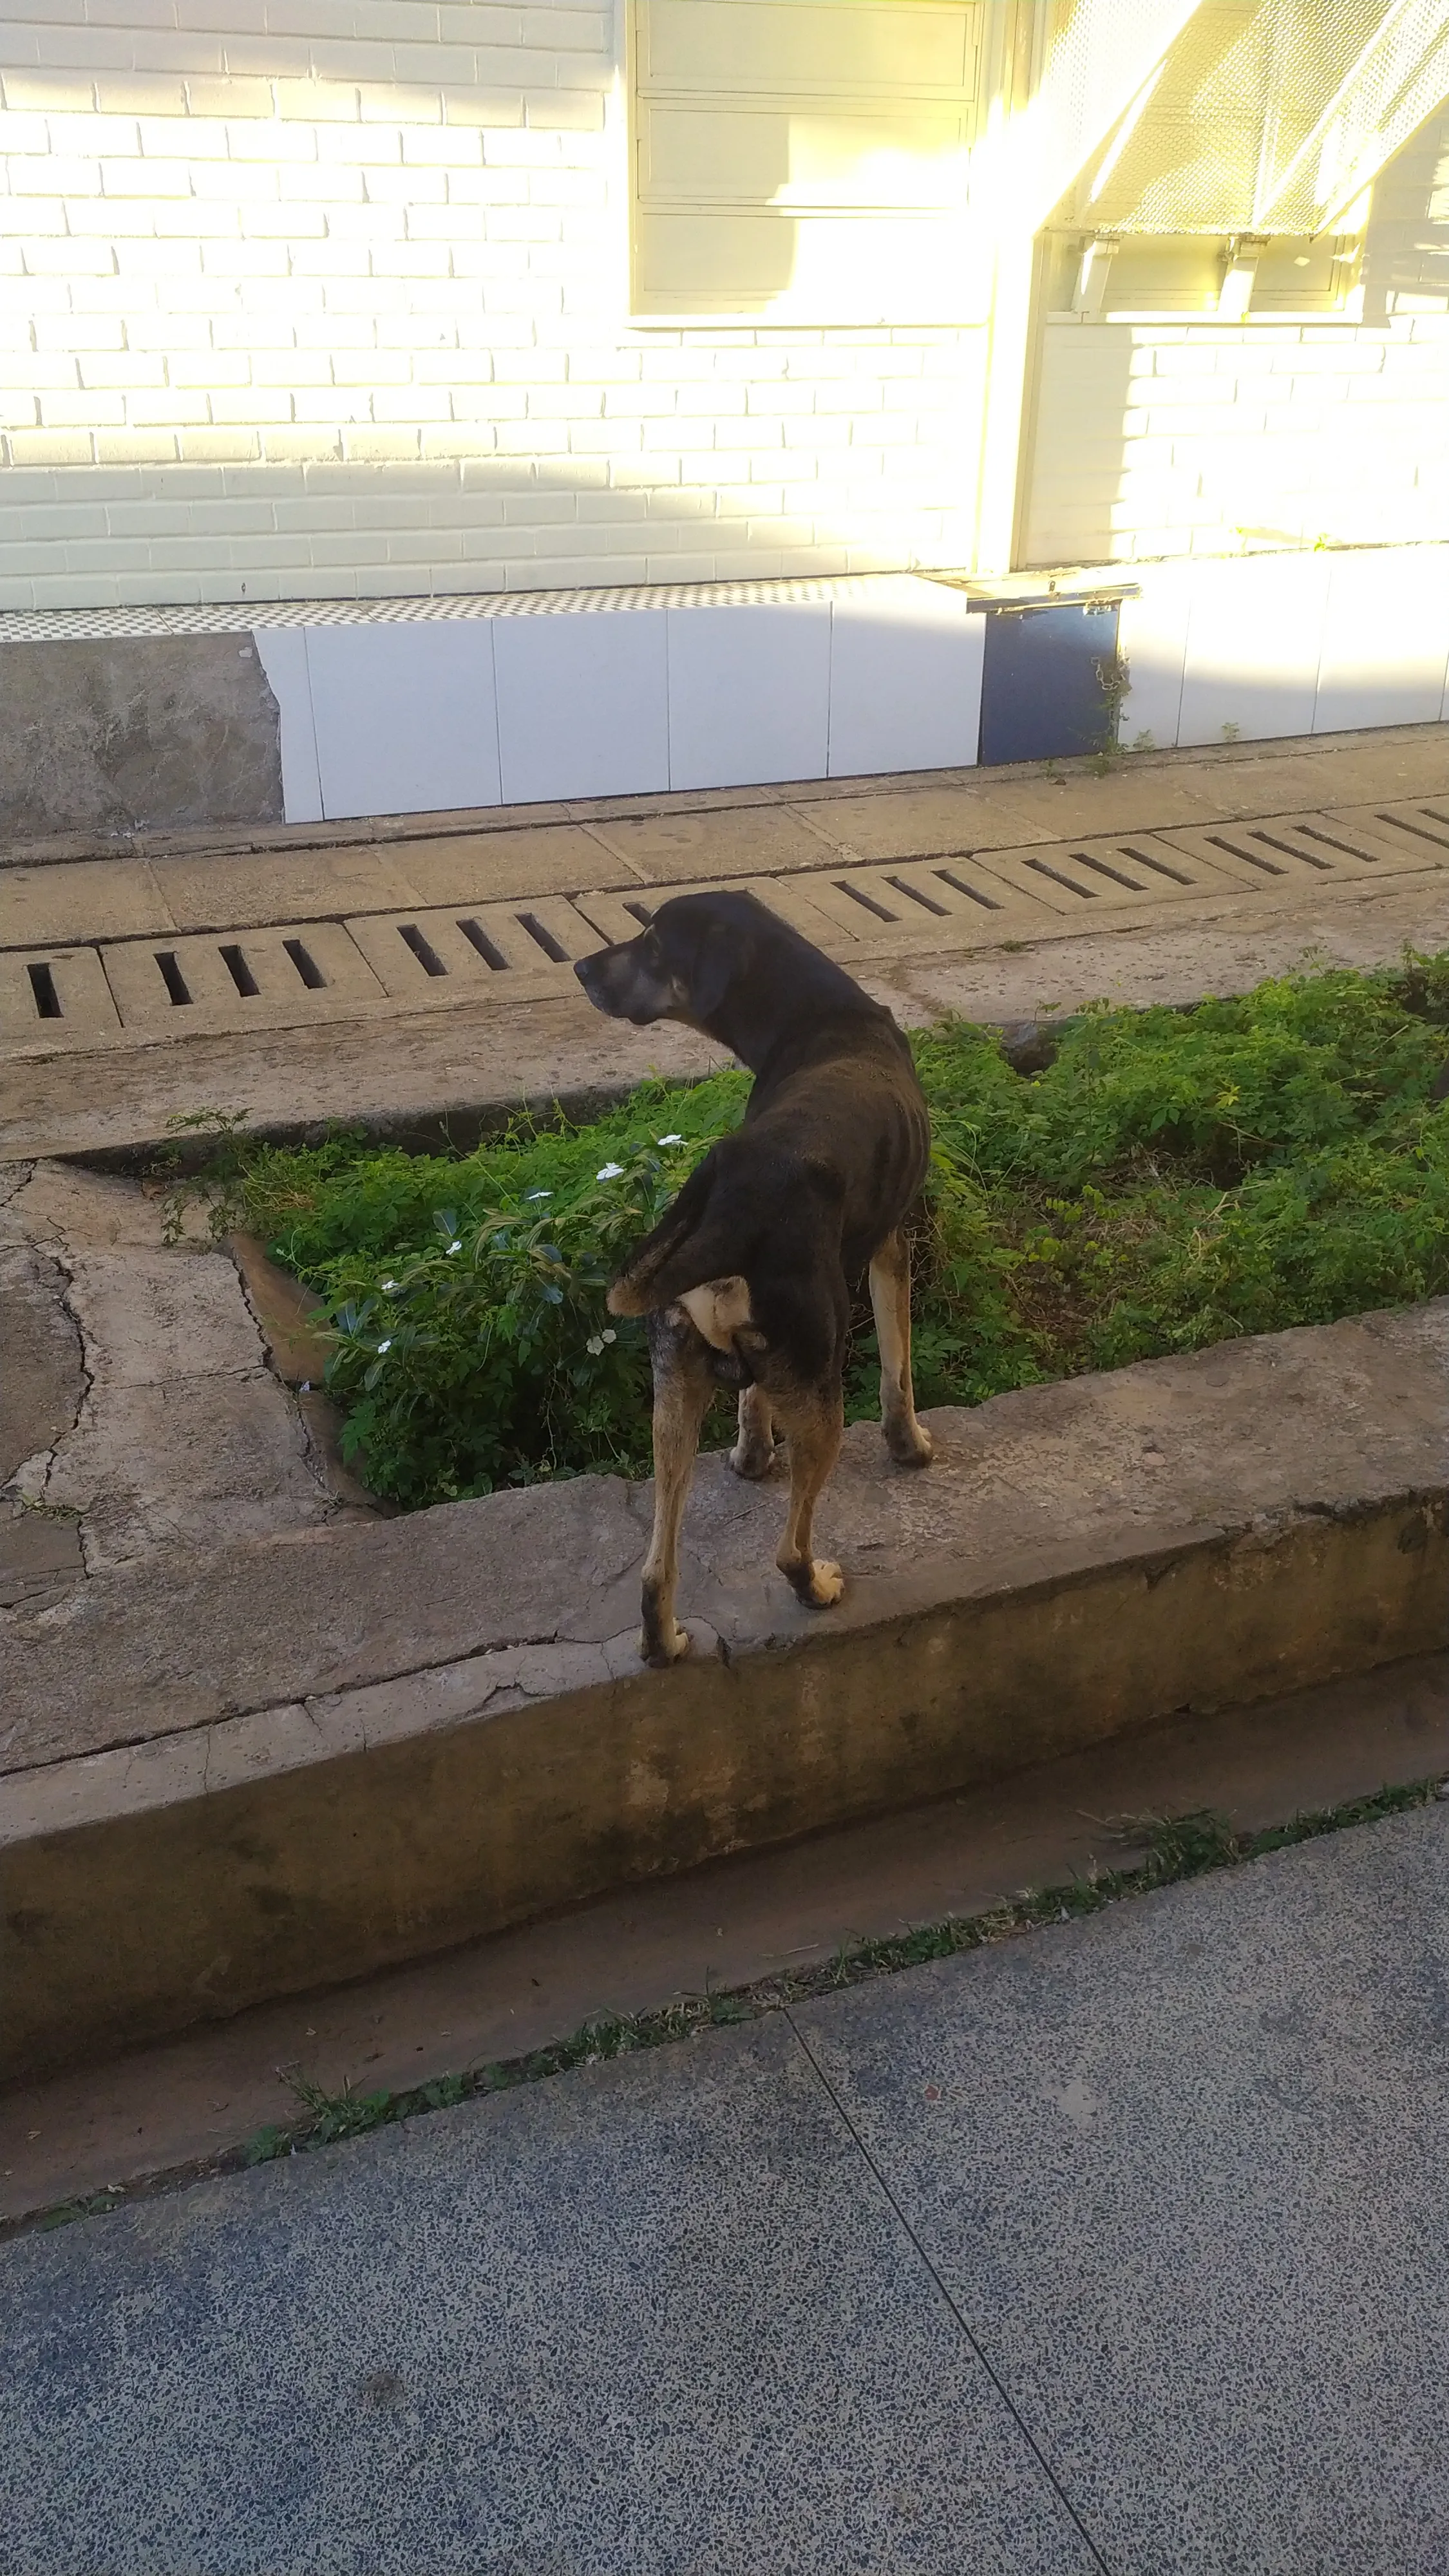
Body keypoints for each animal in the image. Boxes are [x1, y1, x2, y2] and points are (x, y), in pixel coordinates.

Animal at [569, 886, 928, 1669]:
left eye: (653, 945)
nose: (579, 967)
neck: (818, 1016)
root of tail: (725, 1201)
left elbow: (752, 1398)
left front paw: (751, 1454)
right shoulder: (892, 1243)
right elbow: (900, 1368)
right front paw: (910, 1445)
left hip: (674, 1382)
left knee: (655, 1570)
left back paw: (665, 1641)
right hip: (821, 1383)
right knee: (790, 1549)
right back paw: (818, 1587)